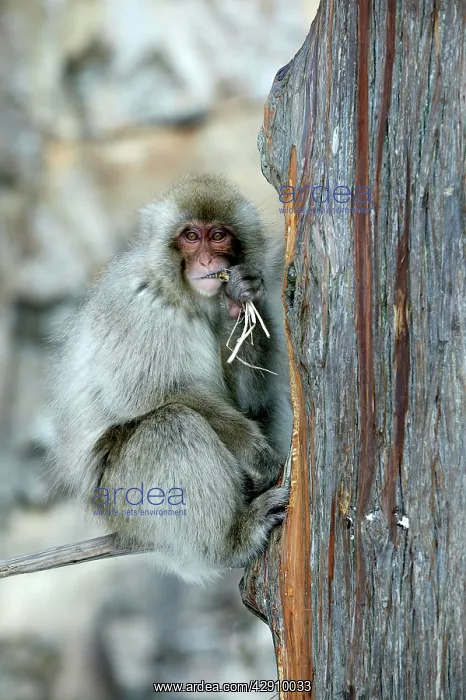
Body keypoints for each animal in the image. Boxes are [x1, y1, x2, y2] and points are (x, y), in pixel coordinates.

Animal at [49, 173, 292, 583]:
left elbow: (252, 400)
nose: (208, 260)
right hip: (126, 500)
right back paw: (234, 538)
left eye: (219, 235)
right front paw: (256, 453)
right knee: (172, 426)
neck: (184, 296)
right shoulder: (139, 308)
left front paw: (240, 297)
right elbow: (155, 395)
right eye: (191, 236)